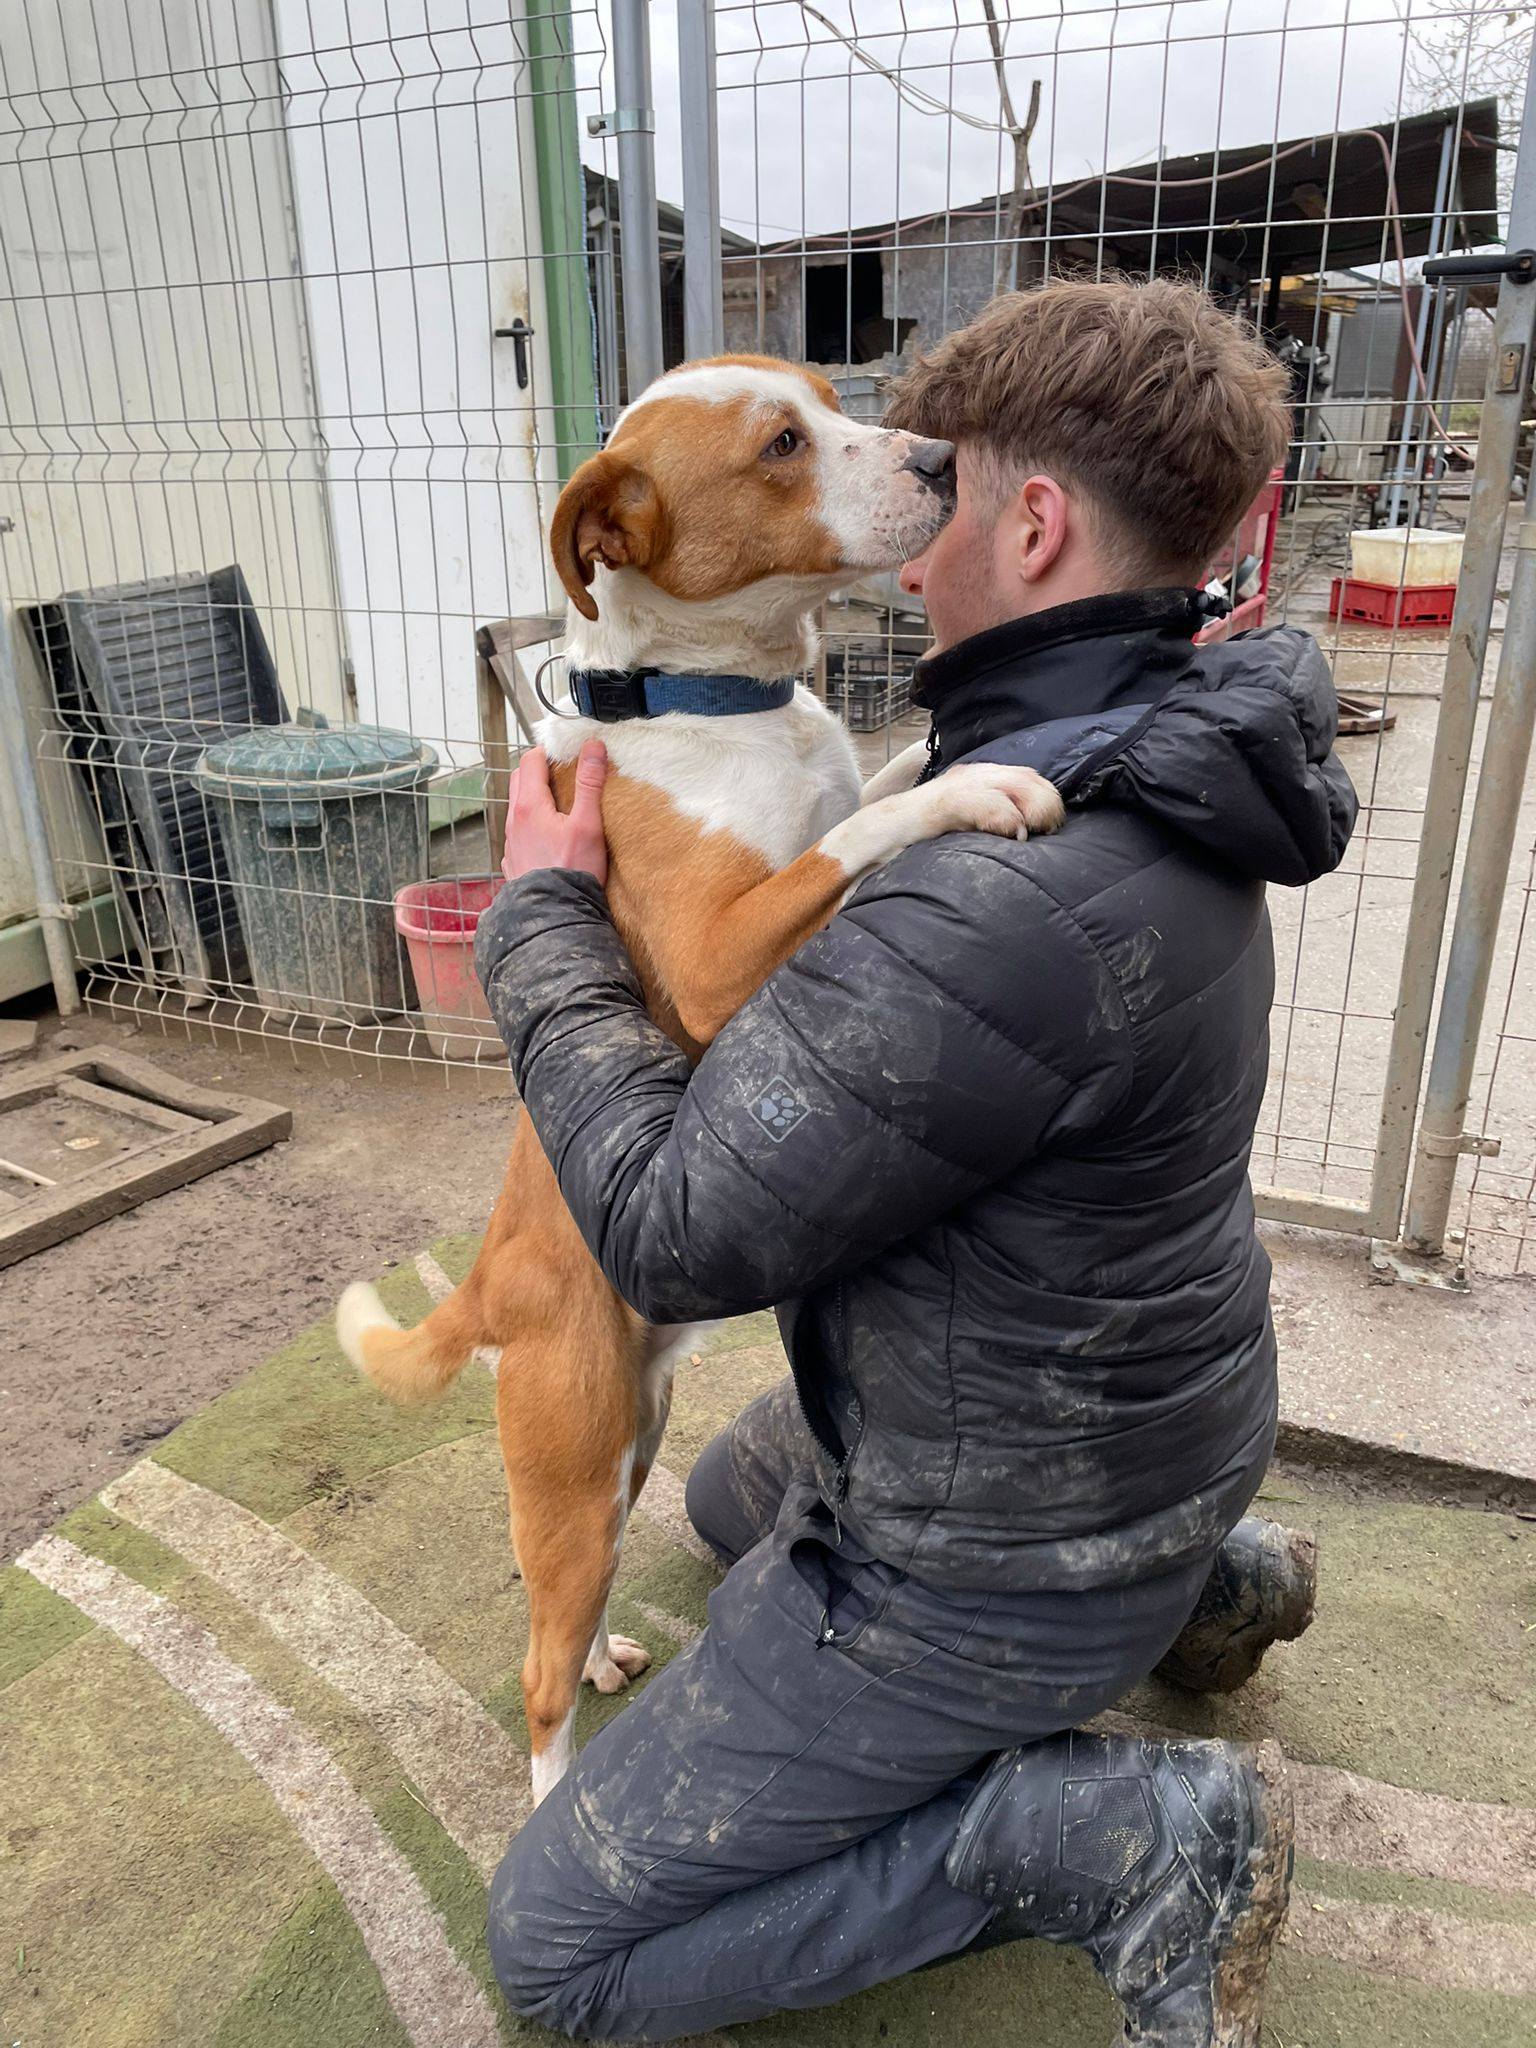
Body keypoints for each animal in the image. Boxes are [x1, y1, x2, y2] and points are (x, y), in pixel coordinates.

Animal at [338, 356, 1062, 1802]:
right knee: (536, 1671)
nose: (944, 464)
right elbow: (860, 834)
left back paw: (612, 1655)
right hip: (571, 1473)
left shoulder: (830, 792)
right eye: (781, 445)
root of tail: (492, 1279)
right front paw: (988, 785)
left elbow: (876, 780)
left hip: (633, 1444)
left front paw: (941, 750)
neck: (717, 706)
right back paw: (551, 1792)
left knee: (575, 1613)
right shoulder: (729, 956)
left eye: (832, 400)